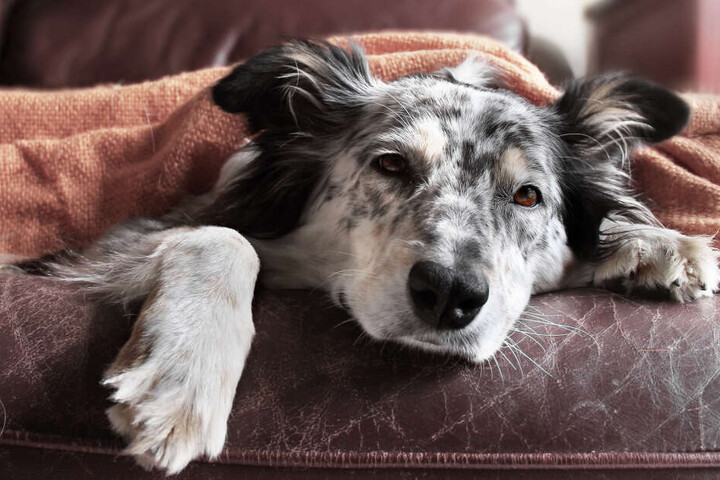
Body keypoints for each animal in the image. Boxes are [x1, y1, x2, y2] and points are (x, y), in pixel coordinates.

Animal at [5, 38, 720, 472]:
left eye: (527, 195)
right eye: (391, 164)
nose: (450, 294)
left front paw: (658, 244)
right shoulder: (118, 240)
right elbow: (222, 237)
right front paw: (184, 380)